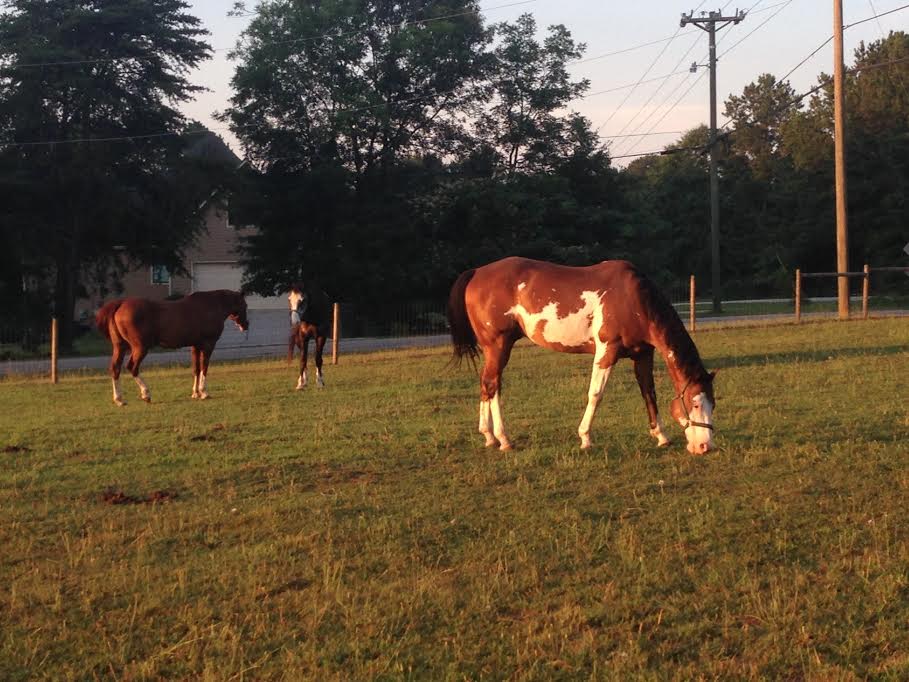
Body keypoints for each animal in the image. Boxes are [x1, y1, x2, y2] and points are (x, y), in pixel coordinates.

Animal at [95, 290, 249, 406]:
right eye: (245, 305)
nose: (246, 325)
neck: (211, 305)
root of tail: (121, 304)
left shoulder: (195, 347)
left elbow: (196, 369)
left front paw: (195, 393)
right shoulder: (208, 345)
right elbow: (204, 368)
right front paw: (204, 392)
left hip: (120, 347)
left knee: (115, 368)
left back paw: (119, 399)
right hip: (140, 348)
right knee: (132, 367)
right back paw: (146, 394)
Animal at [447, 257, 716, 454]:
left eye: (712, 403)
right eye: (694, 403)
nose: (704, 446)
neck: (634, 300)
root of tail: (476, 272)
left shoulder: (642, 355)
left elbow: (648, 393)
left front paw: (660, 435)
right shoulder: (607, 352)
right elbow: (595, 394)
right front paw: (585, 437)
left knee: (487, 386)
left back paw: (489, 436)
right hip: (498, 346)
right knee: (492, 385)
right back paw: (503, 439)